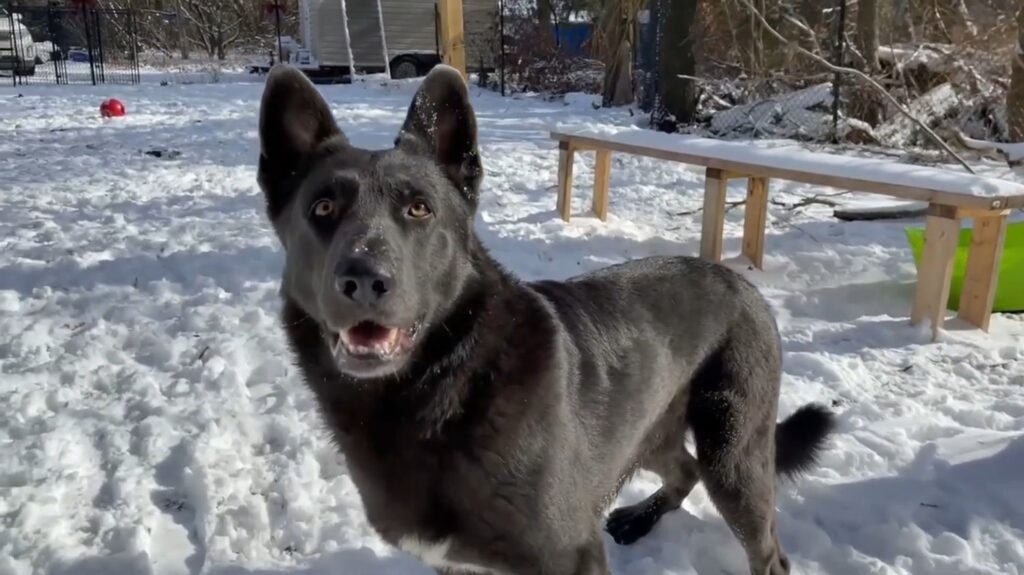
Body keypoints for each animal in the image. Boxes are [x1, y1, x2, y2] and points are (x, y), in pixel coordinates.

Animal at [253, 63, 831, 572]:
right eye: (322, 209)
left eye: (419, 209)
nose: (363, 280)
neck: (449, 384)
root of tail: (744, 284)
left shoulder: (571, 556)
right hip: (645, 430)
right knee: (683, 468)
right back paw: (640, 517)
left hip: (733, 456)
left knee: (767, 551)